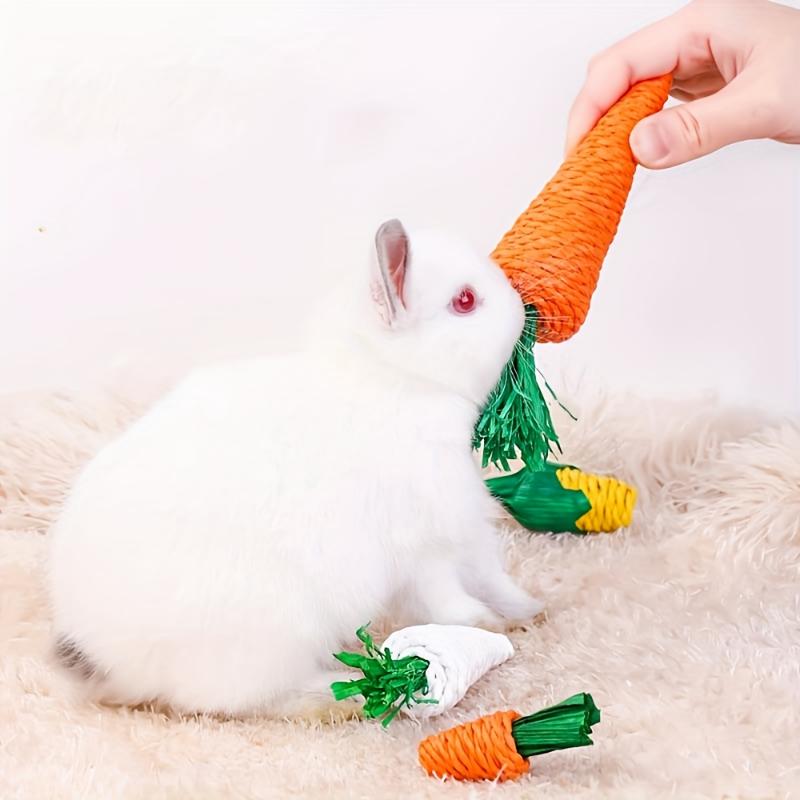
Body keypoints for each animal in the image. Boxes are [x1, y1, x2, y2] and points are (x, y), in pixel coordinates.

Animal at [47, 219, 544, 718]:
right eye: (465, 301)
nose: (523, 309)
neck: (395, 380)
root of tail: (108, 659)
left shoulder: (466, 531)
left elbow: (491, 577)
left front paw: (532, 611)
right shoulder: (424, 548)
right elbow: (448, 598)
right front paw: (488, 623)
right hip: (273, 638)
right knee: (253, 700)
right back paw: (342, 693)